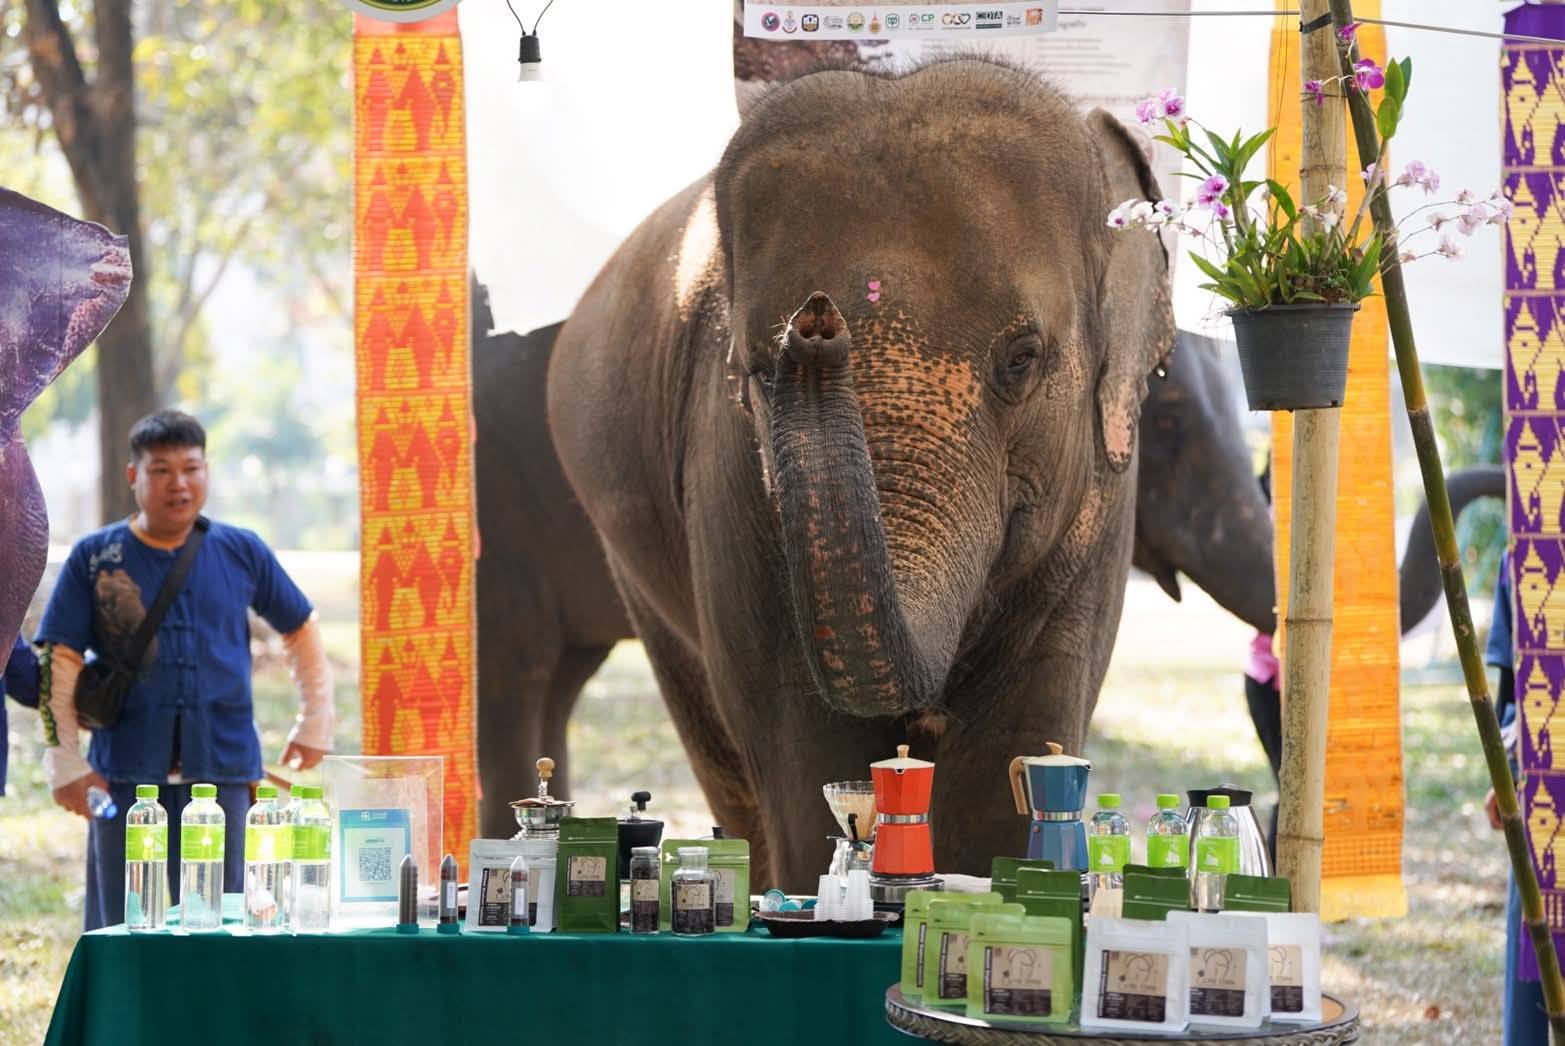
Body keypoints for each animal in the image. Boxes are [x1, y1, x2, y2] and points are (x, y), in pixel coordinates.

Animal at [543, 60, 1180, 887]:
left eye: (1021, 358)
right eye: (758, 369)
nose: (815, 324)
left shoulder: (1101, 504)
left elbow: (1016, 749)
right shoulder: (729, 483)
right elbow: (804, 748)